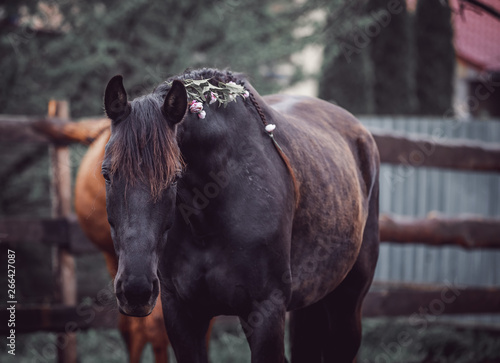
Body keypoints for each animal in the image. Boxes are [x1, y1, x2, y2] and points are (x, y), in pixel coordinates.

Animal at [101, 69, 378, 363]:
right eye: (106, 174)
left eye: (175, 177)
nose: (136, 290)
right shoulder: (182, 314)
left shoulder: (266, 312)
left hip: (347, 305)